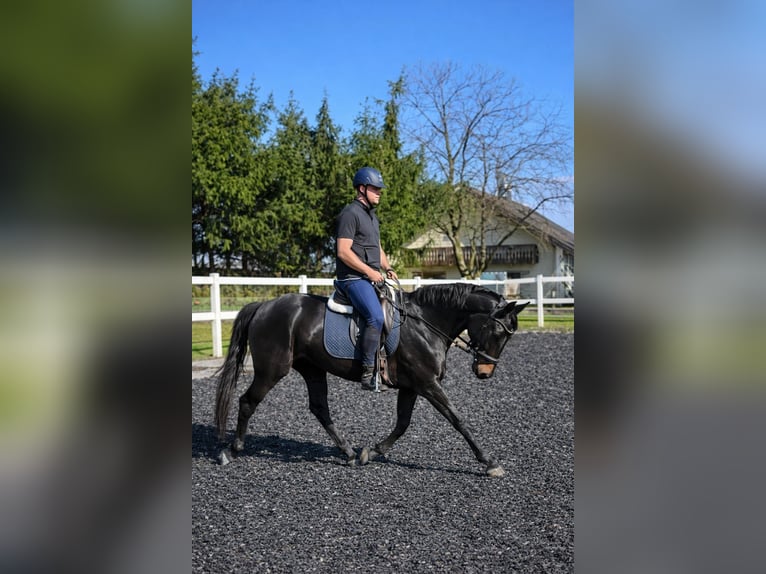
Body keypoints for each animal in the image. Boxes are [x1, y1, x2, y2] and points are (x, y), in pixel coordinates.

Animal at [214, 282, 528, 477]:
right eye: (497, 332)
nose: (485, 372)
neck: (425, 325)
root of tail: (264, 306)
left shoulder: (412, 386)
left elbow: (402, 424)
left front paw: (372, 452)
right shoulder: (427, 384)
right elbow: (458, 420)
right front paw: (489, 462)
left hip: (312, 369)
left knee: (319, 408)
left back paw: (349, 453)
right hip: (272, 370)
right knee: (247, 402)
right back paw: (232, 450)